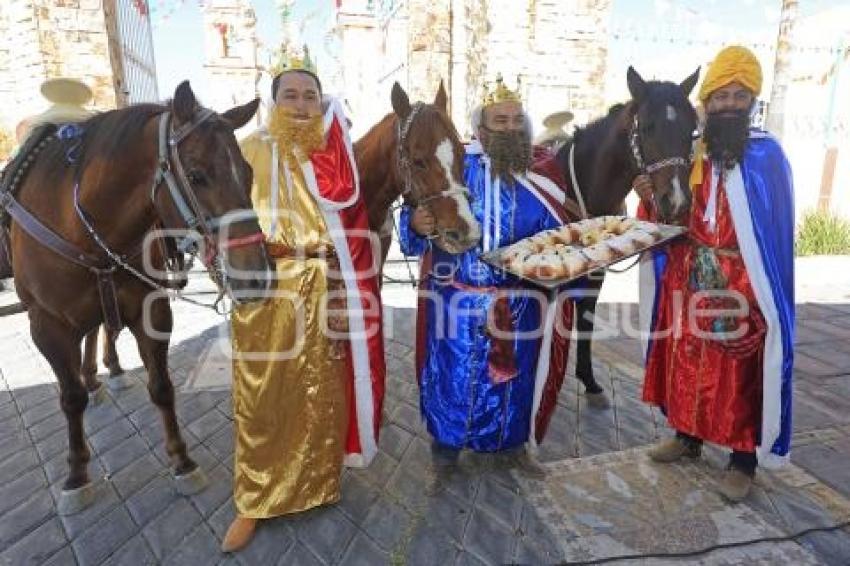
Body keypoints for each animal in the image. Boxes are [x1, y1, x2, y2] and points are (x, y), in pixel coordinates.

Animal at [4, 82, 270, 516]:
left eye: (247, 172)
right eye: (196, 175)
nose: (257, 275)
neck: (79, 221)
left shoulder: (151, 311)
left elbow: (161, 387)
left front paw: (181, 460)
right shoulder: (47, 326)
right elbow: (70, 398)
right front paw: (77, 474)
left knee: (98, 331)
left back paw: (105, 372)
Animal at [552, 66, 700, 404]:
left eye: (693, 131)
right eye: (646, 127)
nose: (677, 201)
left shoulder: (595, 274)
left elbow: (586, 318)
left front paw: (589, 380)